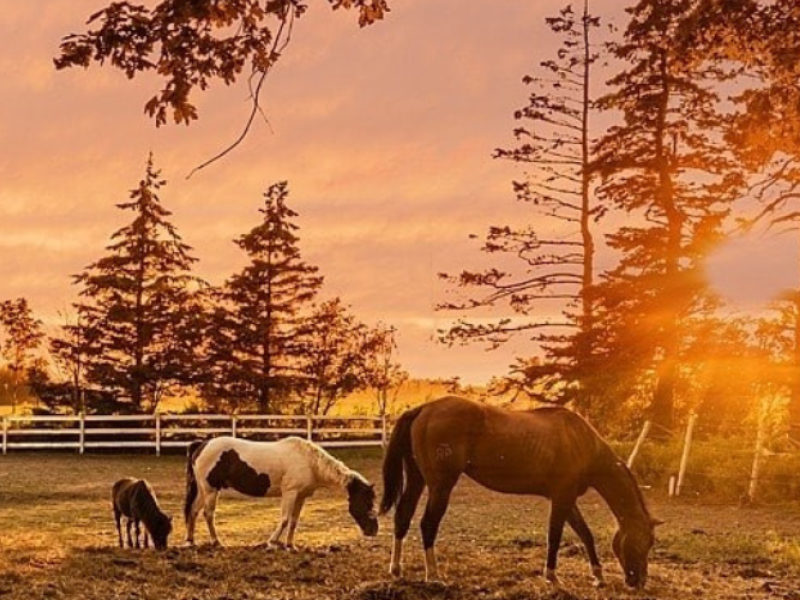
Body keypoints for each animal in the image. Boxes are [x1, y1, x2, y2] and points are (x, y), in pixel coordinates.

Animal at [186, 436, 380, 548]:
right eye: (366, 502)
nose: (373, 530)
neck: (309, 462)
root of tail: (202, 444)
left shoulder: (301, 496)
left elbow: (294, 521)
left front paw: (290, 545)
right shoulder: (290, 493)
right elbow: (285, 519)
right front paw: (272, 542)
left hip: (203, 490)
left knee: (193, 512)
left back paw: (191, 541)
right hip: (211, 490)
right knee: (208, 514)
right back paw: (217, 542)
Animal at [382, 396, 664, 588]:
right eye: (643, 541)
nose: (639, 581)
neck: (582, 442)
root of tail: (424, 409)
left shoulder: (567, 498)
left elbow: (586, 534)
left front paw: (598, 576)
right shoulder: (561, 499)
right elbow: (555, 536)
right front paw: (552, 576)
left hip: (418, 480)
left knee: (403, 517)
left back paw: (396, 569)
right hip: (441, 487)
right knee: (427, 524)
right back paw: (434, 575)